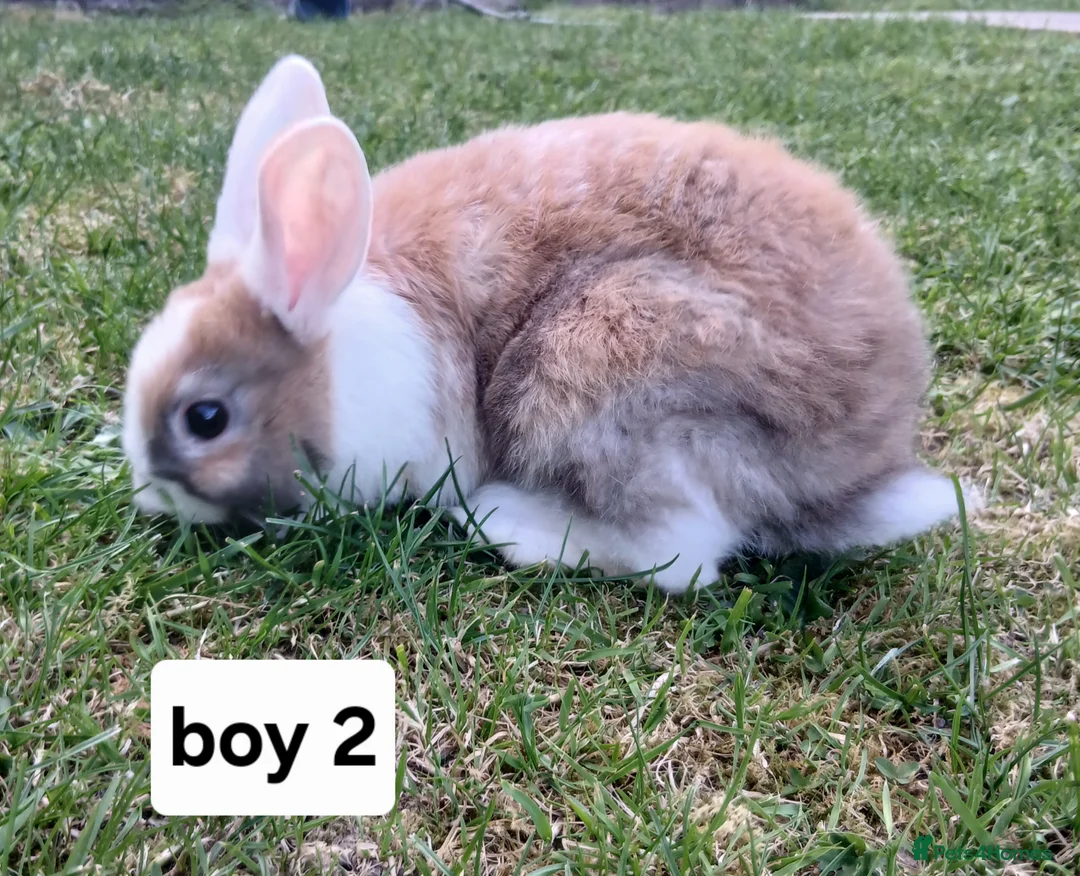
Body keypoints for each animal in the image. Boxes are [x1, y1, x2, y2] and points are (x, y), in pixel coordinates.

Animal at [122, 54, 974, 593]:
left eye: (205, 418)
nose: (149, 494)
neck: (334, 350)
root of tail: (863, 461)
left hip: (602, 367)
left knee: (681, 552)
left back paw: (509, 524)